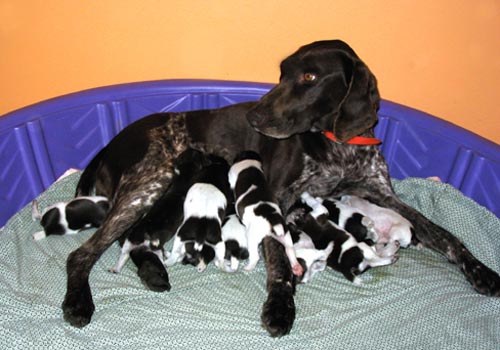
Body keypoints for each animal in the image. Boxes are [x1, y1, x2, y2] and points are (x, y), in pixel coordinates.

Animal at [62, 40, 500, 336]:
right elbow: (278, 263)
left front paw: (481, 271)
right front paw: (280, 307)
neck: (335, 145)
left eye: (308, 76)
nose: (254, 117)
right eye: (282, 73)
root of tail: (109, 144)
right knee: (82, 254)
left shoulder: (384, 196)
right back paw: (79, 302)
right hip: (149, 185)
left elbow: (447, 237)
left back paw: (153, 275)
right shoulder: (278, 201)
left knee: (135, 244)